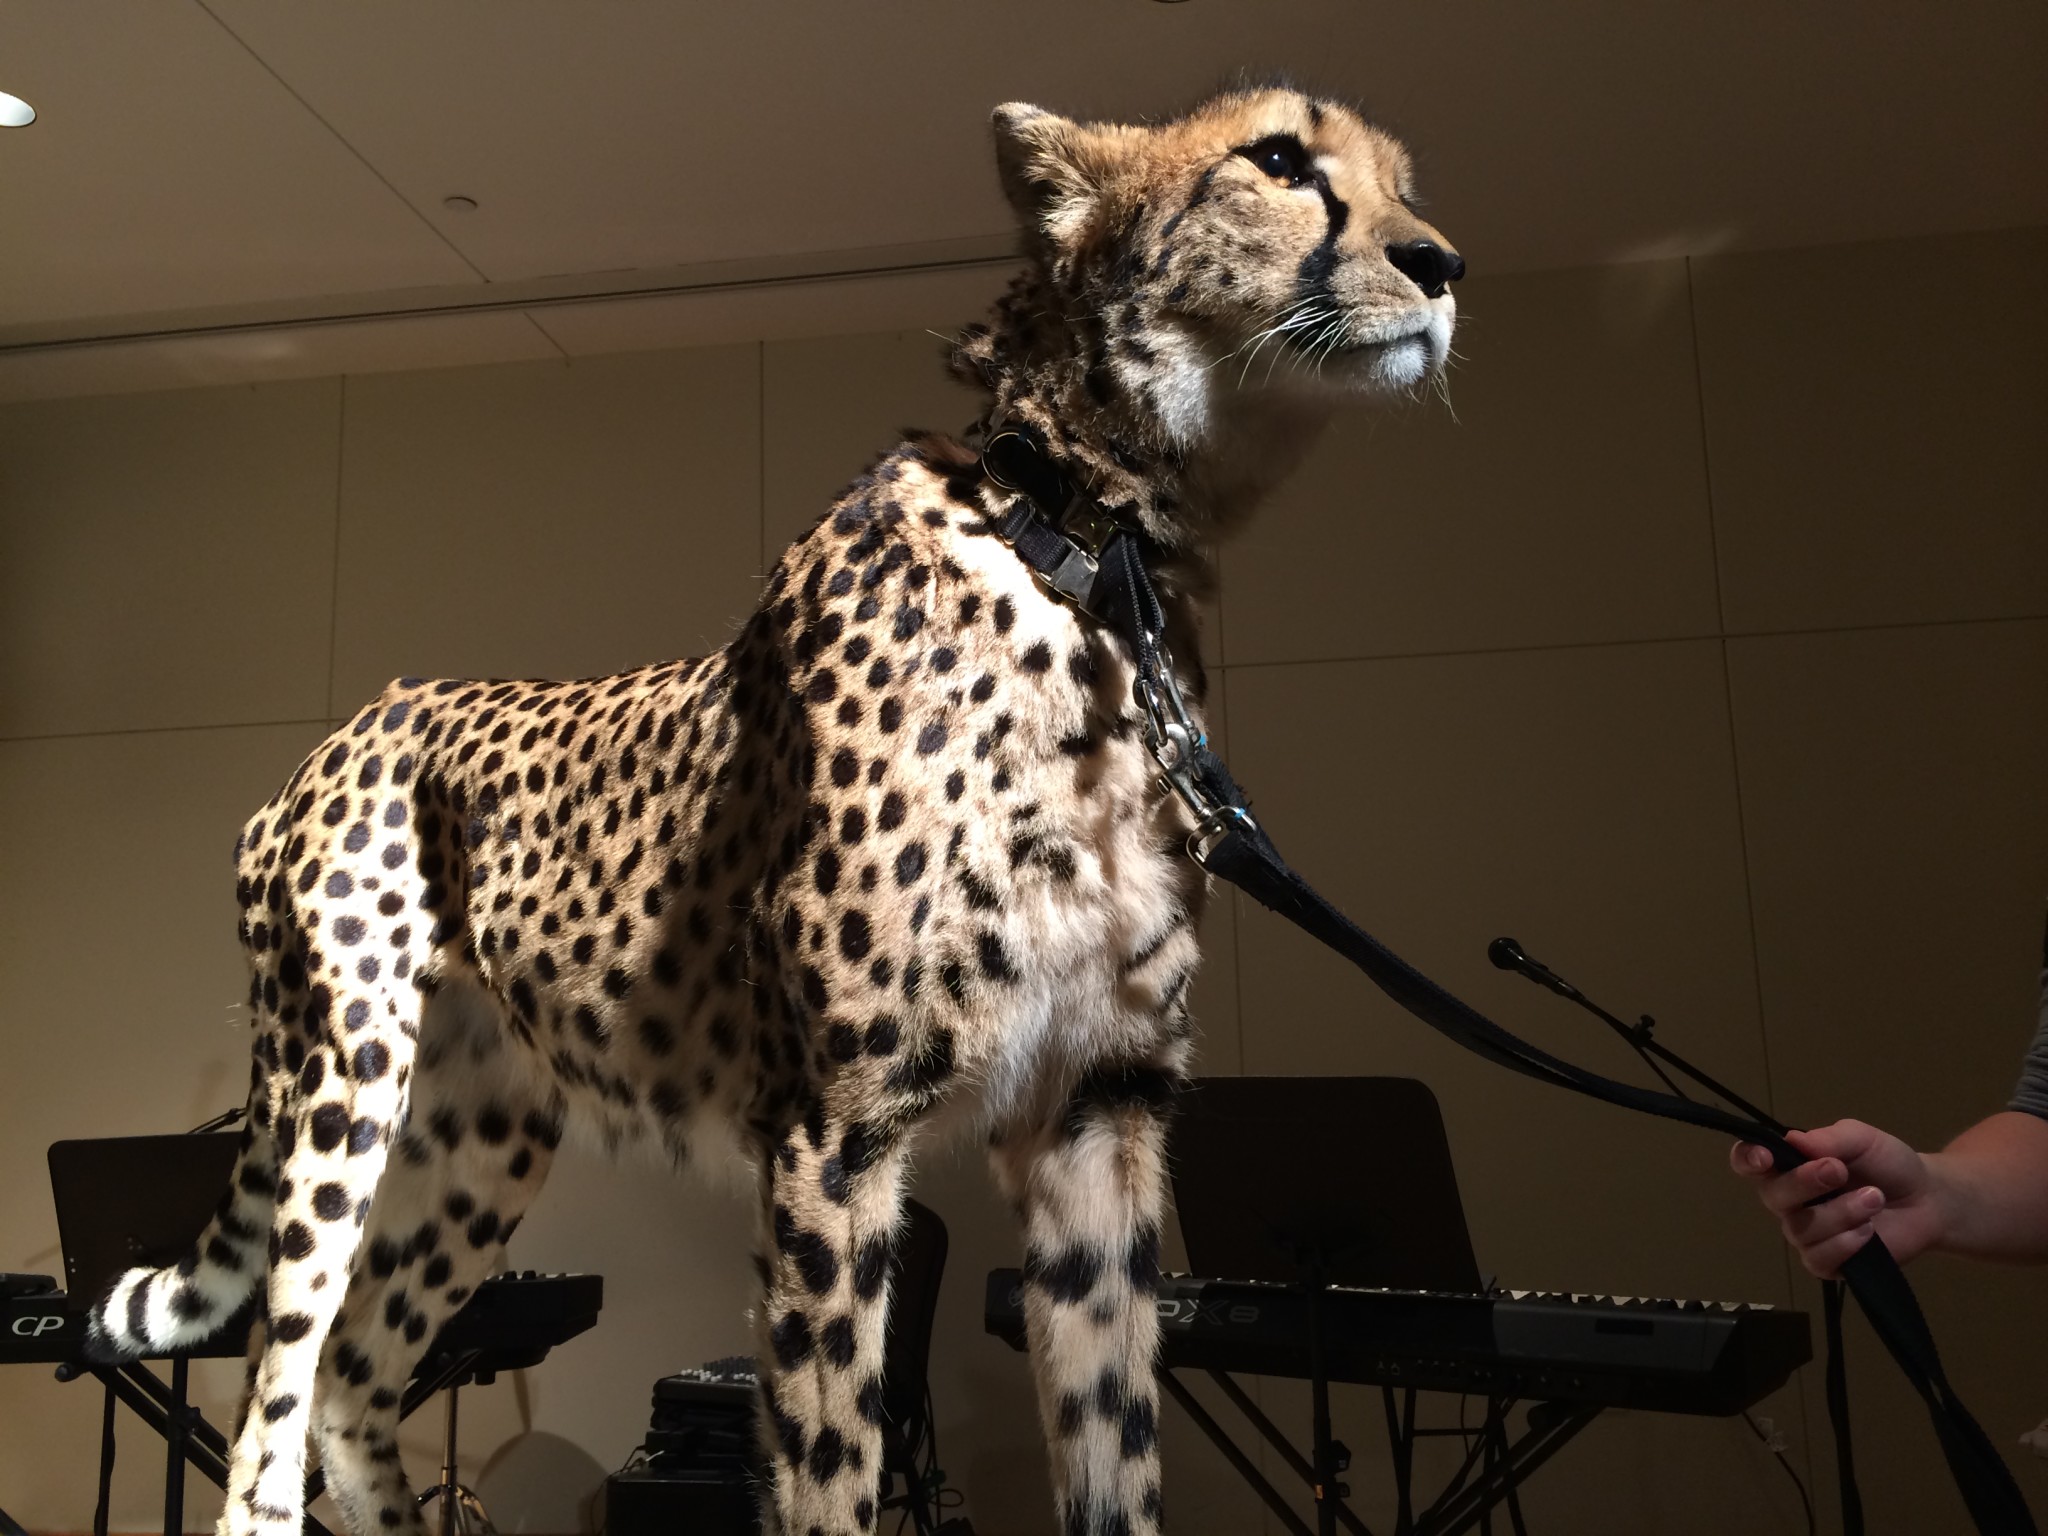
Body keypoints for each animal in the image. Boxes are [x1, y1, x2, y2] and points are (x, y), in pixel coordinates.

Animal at [92, 87, 1458, 1536]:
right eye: (1278, 159)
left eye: (1402, 181)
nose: (1441, 264)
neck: (1092, 556)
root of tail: (347, 725)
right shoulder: (830, 1124)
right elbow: (830, 1468)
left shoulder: (1097, 1110)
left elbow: (1114, 1455)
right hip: (343, 1090)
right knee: (270, 1413)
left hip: (482, 1130)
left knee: (354, 1385)